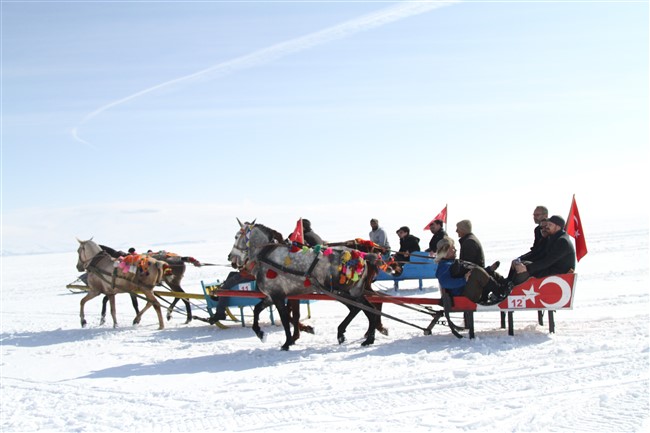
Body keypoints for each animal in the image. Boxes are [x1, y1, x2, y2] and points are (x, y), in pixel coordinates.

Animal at [228, 221, 380, 350]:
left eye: (236, 236)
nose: (230, 257)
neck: (267, 256)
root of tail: (361, 255)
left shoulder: (278, 296)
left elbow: (284, 319)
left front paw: (287, 343)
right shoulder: (272, 296)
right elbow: (257, 310)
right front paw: (260, 333)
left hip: (346, 291)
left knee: (364, 309)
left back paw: (360, 336)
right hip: (348, 292)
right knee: (364, 309)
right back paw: (358, 336)